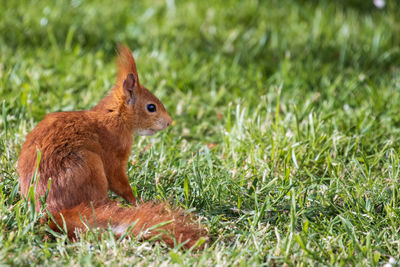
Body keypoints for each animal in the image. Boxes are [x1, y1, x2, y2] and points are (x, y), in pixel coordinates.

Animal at [16, 45, 206, 249]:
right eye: (151, 107)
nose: (169, 122)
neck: (115, 116)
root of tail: (52, 211)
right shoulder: (113, 153)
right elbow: (119, 181)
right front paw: (137, 201)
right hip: (90, 166)